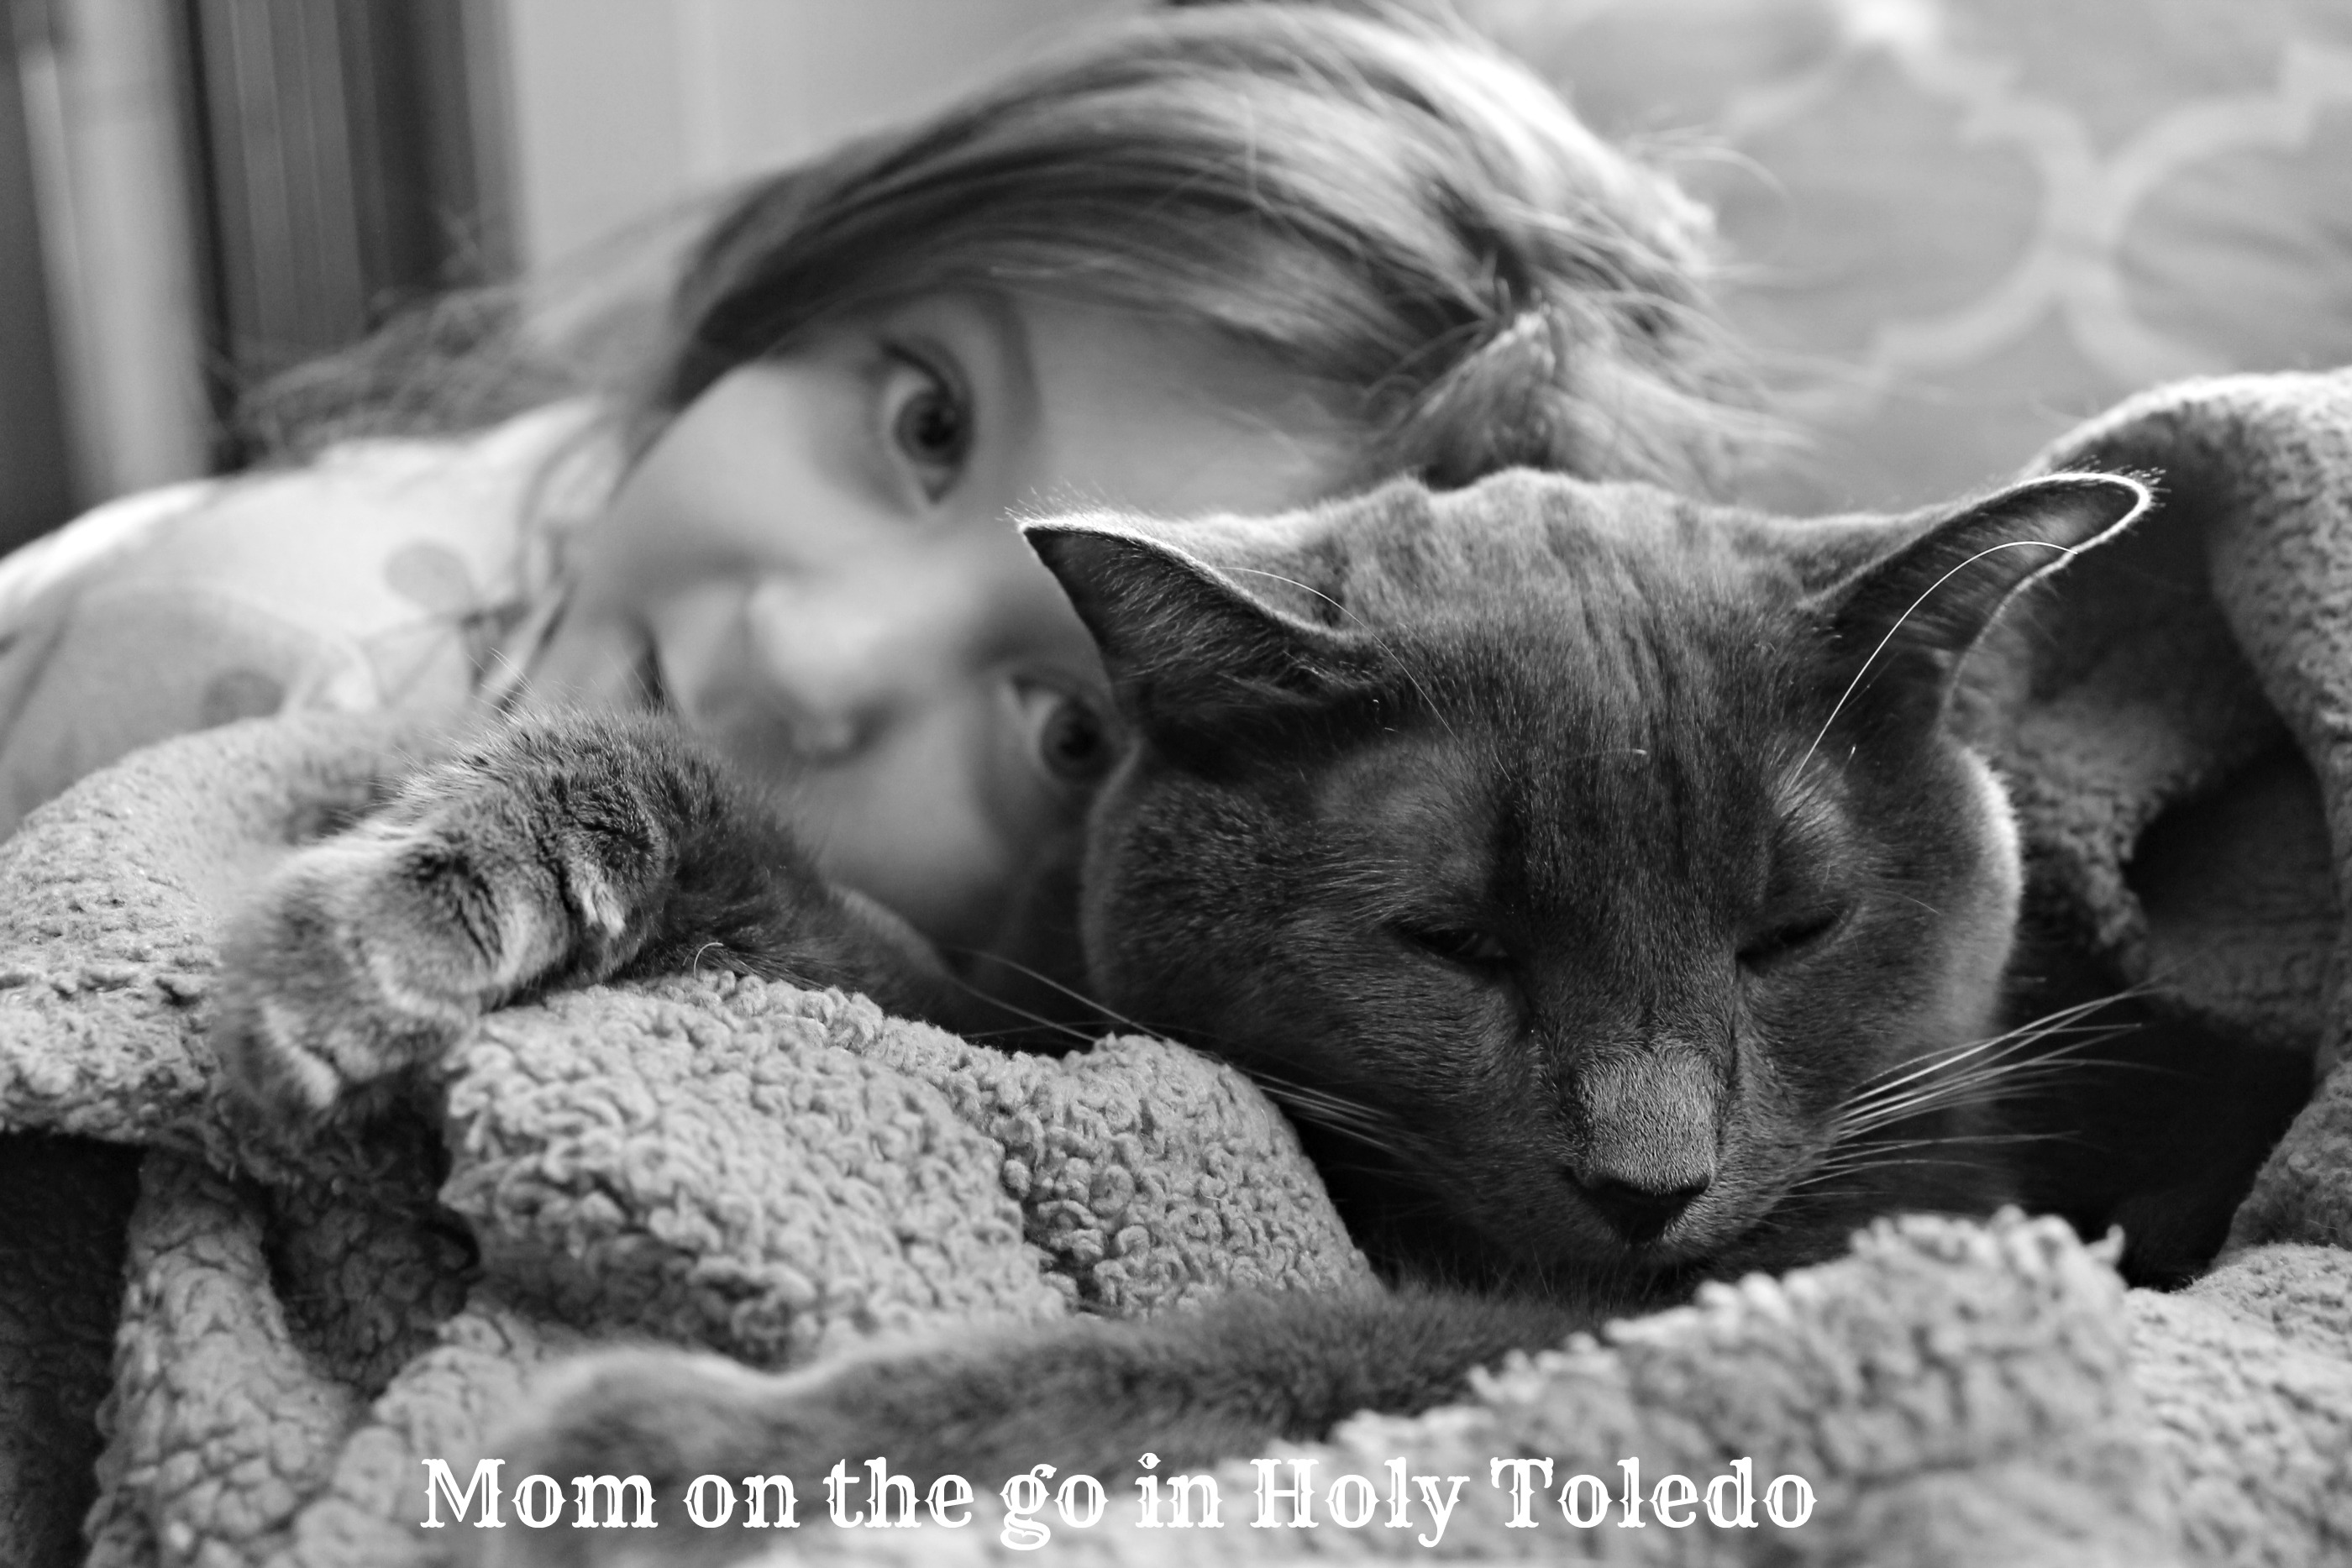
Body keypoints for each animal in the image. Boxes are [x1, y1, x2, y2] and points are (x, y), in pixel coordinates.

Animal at [215, 465, 2161, 1558]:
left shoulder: (1793, 1274)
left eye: (1791, 929)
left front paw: (664, 1455)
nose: (1648, 1174)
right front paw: (382, 932)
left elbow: (1247, 1348)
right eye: (1451, 936)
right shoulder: (1000, 1015)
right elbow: (729, 837)